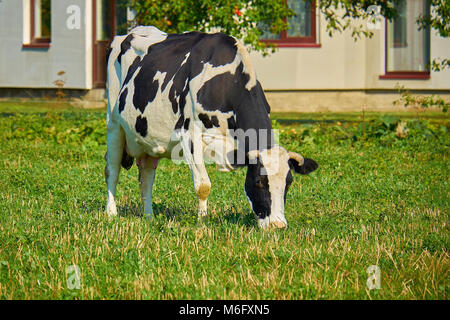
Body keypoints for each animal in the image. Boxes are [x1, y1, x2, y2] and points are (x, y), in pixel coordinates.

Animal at [105, 26, 318, 229]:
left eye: (289, 182)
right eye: (259, 181)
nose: (278, 225)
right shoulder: (190, 136)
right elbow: (203, 186)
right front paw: (202, 221)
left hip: (149, 139)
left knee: (147, 176)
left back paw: (149, 216)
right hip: (114, 124)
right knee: (112, 170)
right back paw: (111, 213)